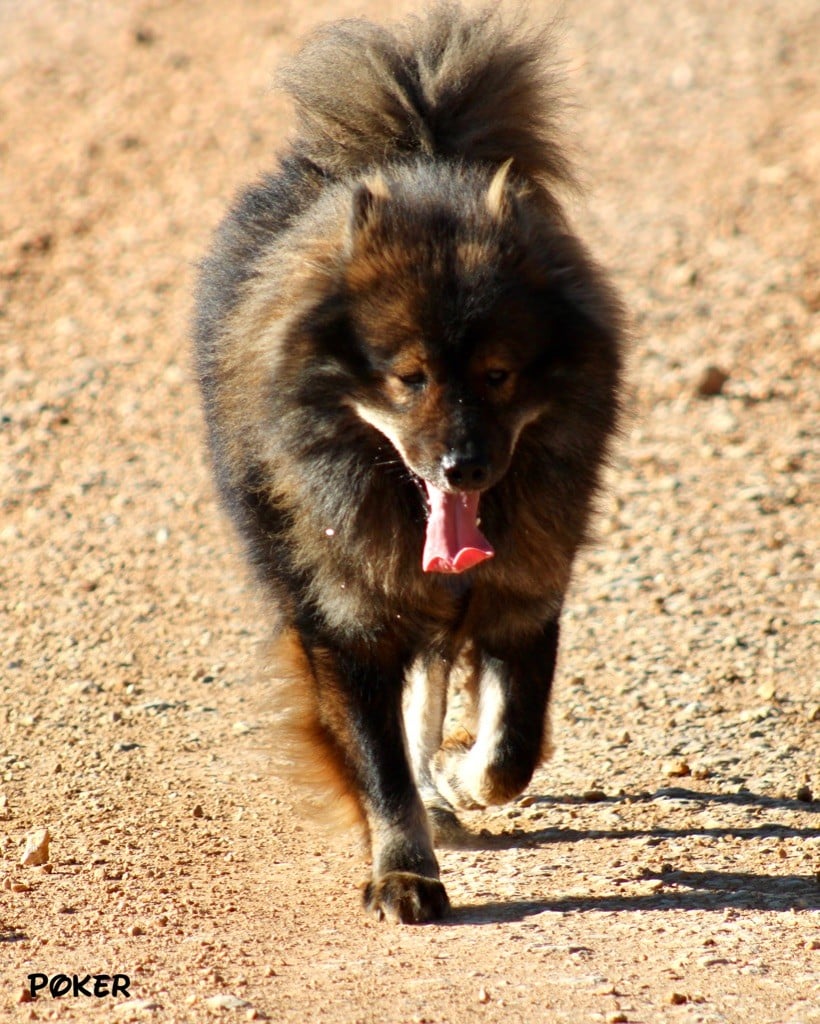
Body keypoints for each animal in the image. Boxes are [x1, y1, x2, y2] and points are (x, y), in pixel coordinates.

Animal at [195, 0, 622, 925]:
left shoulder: (524, 588)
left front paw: (461, 779)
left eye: (498, 375)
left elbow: (510, 746)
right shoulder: (346, 617)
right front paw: (406, 873)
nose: (463, 467)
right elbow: (379, 764)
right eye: (411, 378)